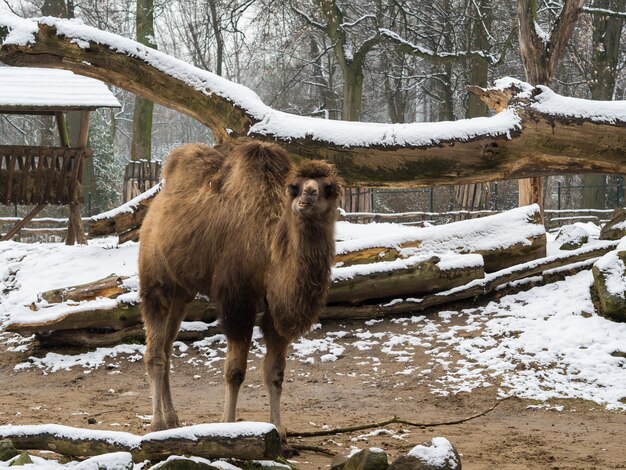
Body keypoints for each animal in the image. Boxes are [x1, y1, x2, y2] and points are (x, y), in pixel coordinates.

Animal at [137, 140, 342, 448]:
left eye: (328, 188)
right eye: (294, 187)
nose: (307, 196)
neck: (268, 250)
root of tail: (154, 208)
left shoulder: (276, 313)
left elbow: (275, 374)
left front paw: (280, 433)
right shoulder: (237, 301)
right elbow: (234, 372)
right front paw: (228, 427)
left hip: (182, 292)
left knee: (167, 347)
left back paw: (173, 420)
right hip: (155, 279)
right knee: (154, 351)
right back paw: (157, 423)